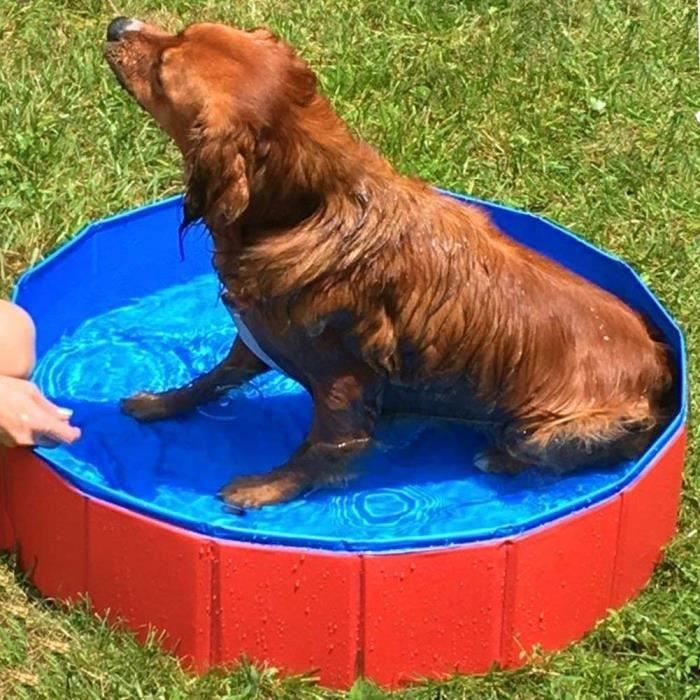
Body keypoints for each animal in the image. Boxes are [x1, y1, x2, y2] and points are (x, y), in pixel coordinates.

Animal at [104, 16, 672, 508]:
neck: (307, 208)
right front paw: (161, 403)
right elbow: (210, 380)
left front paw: (264, 488)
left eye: (163, 71)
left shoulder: (344, 389)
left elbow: (319, 452)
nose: (116, 25)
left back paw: (496, 457)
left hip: (542, 429)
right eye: (184, 29)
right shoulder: (254, 339)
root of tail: (664, 363)